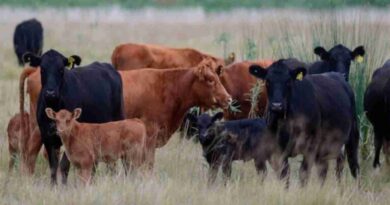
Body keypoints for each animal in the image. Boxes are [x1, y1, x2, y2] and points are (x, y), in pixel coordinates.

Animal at [23, 50, 123, 186]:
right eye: (42, 69)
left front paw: (64, 187)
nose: (50, 92)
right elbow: (53, 165)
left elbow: (64, 165)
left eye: (61, 69)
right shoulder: (47, 136)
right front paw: (53, 186)